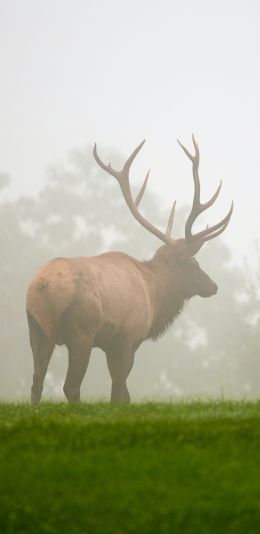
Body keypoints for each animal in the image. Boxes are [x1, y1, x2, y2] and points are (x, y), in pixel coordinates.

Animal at [26, 136, 234, 404]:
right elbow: (118, 393)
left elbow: (125, 395)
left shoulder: (113, 344)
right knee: (71, 386)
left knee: (36, 383)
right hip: (81, 330)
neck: (155, 295)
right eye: (193, 264)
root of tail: (42, 285)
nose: (213, 285)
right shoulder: (127, 339)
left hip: (36, 327)